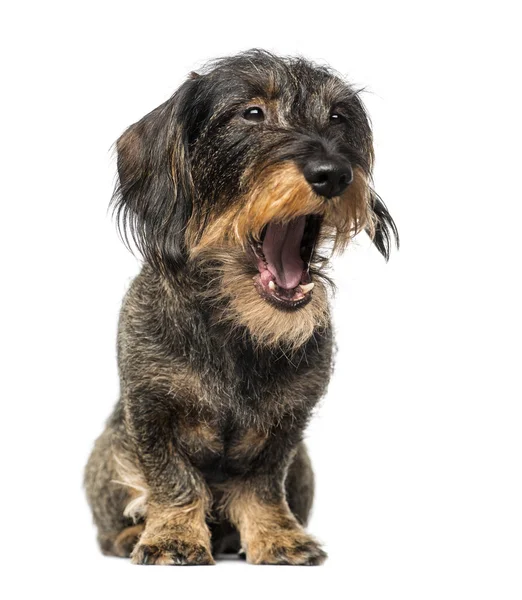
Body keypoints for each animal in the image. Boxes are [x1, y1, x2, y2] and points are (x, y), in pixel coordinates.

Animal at [83, 49, 396, 564]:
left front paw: (276, 536)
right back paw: (132, 536)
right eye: (252, 113)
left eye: (338, 117)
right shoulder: (148, 410)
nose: (334, 173)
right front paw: (173, 535)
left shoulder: (288, 427)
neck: (237, 328)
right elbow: (173, 478)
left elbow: (263, 484)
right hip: (107, 451)